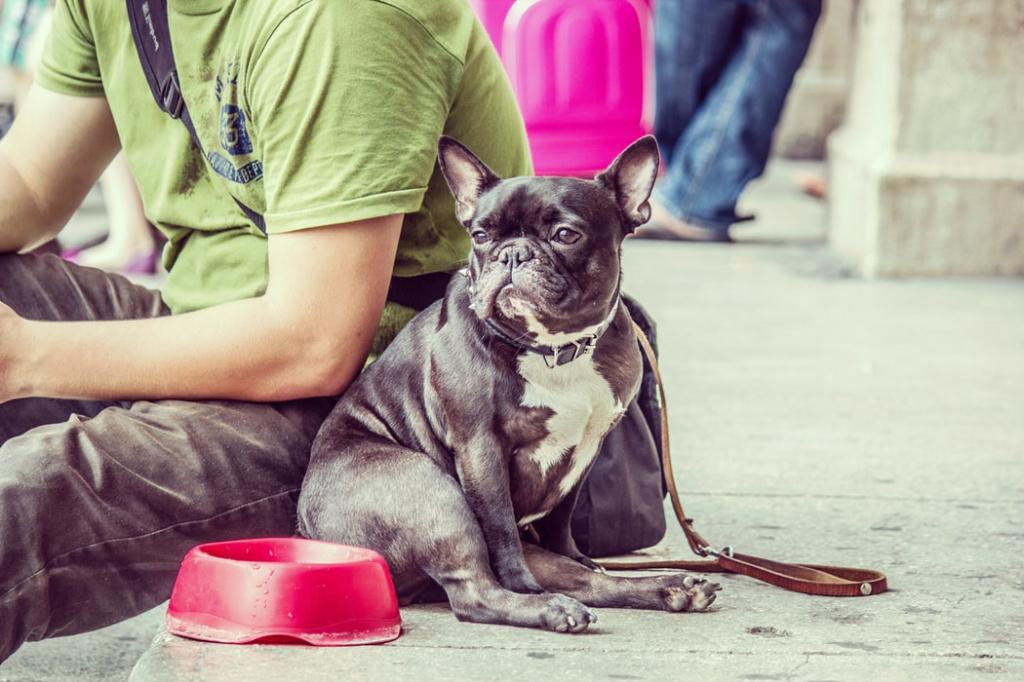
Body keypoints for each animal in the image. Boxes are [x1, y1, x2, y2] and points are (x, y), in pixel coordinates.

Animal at [299, 135, 720, 630]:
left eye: (565, 235)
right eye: (480, 236)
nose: (513, 253)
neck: (553, 350)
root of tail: (311, 533)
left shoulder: (588, 446)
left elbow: (562, 519)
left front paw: (578, 556)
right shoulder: (481, 449)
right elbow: (500, 526)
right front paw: (522, 583)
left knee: (582, 582)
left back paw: (669, 588)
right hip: (434, 493)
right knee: (474, 593)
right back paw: (549, 605)